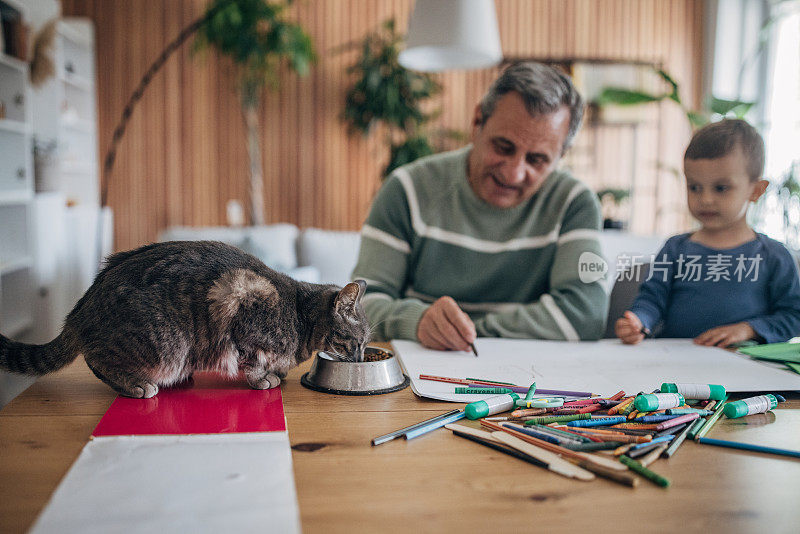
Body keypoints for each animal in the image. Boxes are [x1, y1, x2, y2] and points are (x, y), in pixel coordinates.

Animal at [0, 242, 368, 398]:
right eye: (358, 342)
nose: (362, 358)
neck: (301, 317)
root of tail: (79, 310)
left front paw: (278, 373)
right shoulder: (242, 301)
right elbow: (252, 364)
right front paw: (265, 379)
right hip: (164, 346)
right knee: (96, 359)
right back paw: (135, 386)